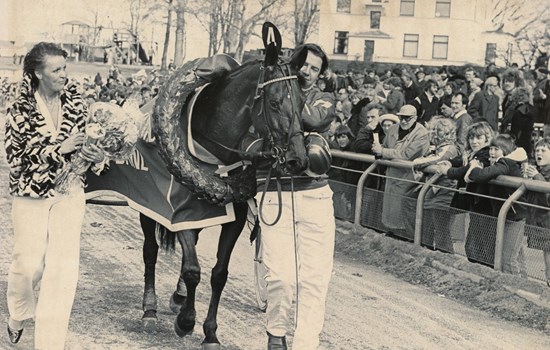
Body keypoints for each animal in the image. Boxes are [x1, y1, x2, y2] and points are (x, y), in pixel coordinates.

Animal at [140, 22, 308, 350]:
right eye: (274, 102)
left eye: (302, 101)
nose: (298, 159)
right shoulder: (179, 212)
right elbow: (193, 270)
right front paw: (186, 322)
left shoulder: (235, 217)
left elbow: (219, 273)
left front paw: (210, 332)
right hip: (147, 207)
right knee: (150, 249)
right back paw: (149, 309)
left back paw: (178, 297)